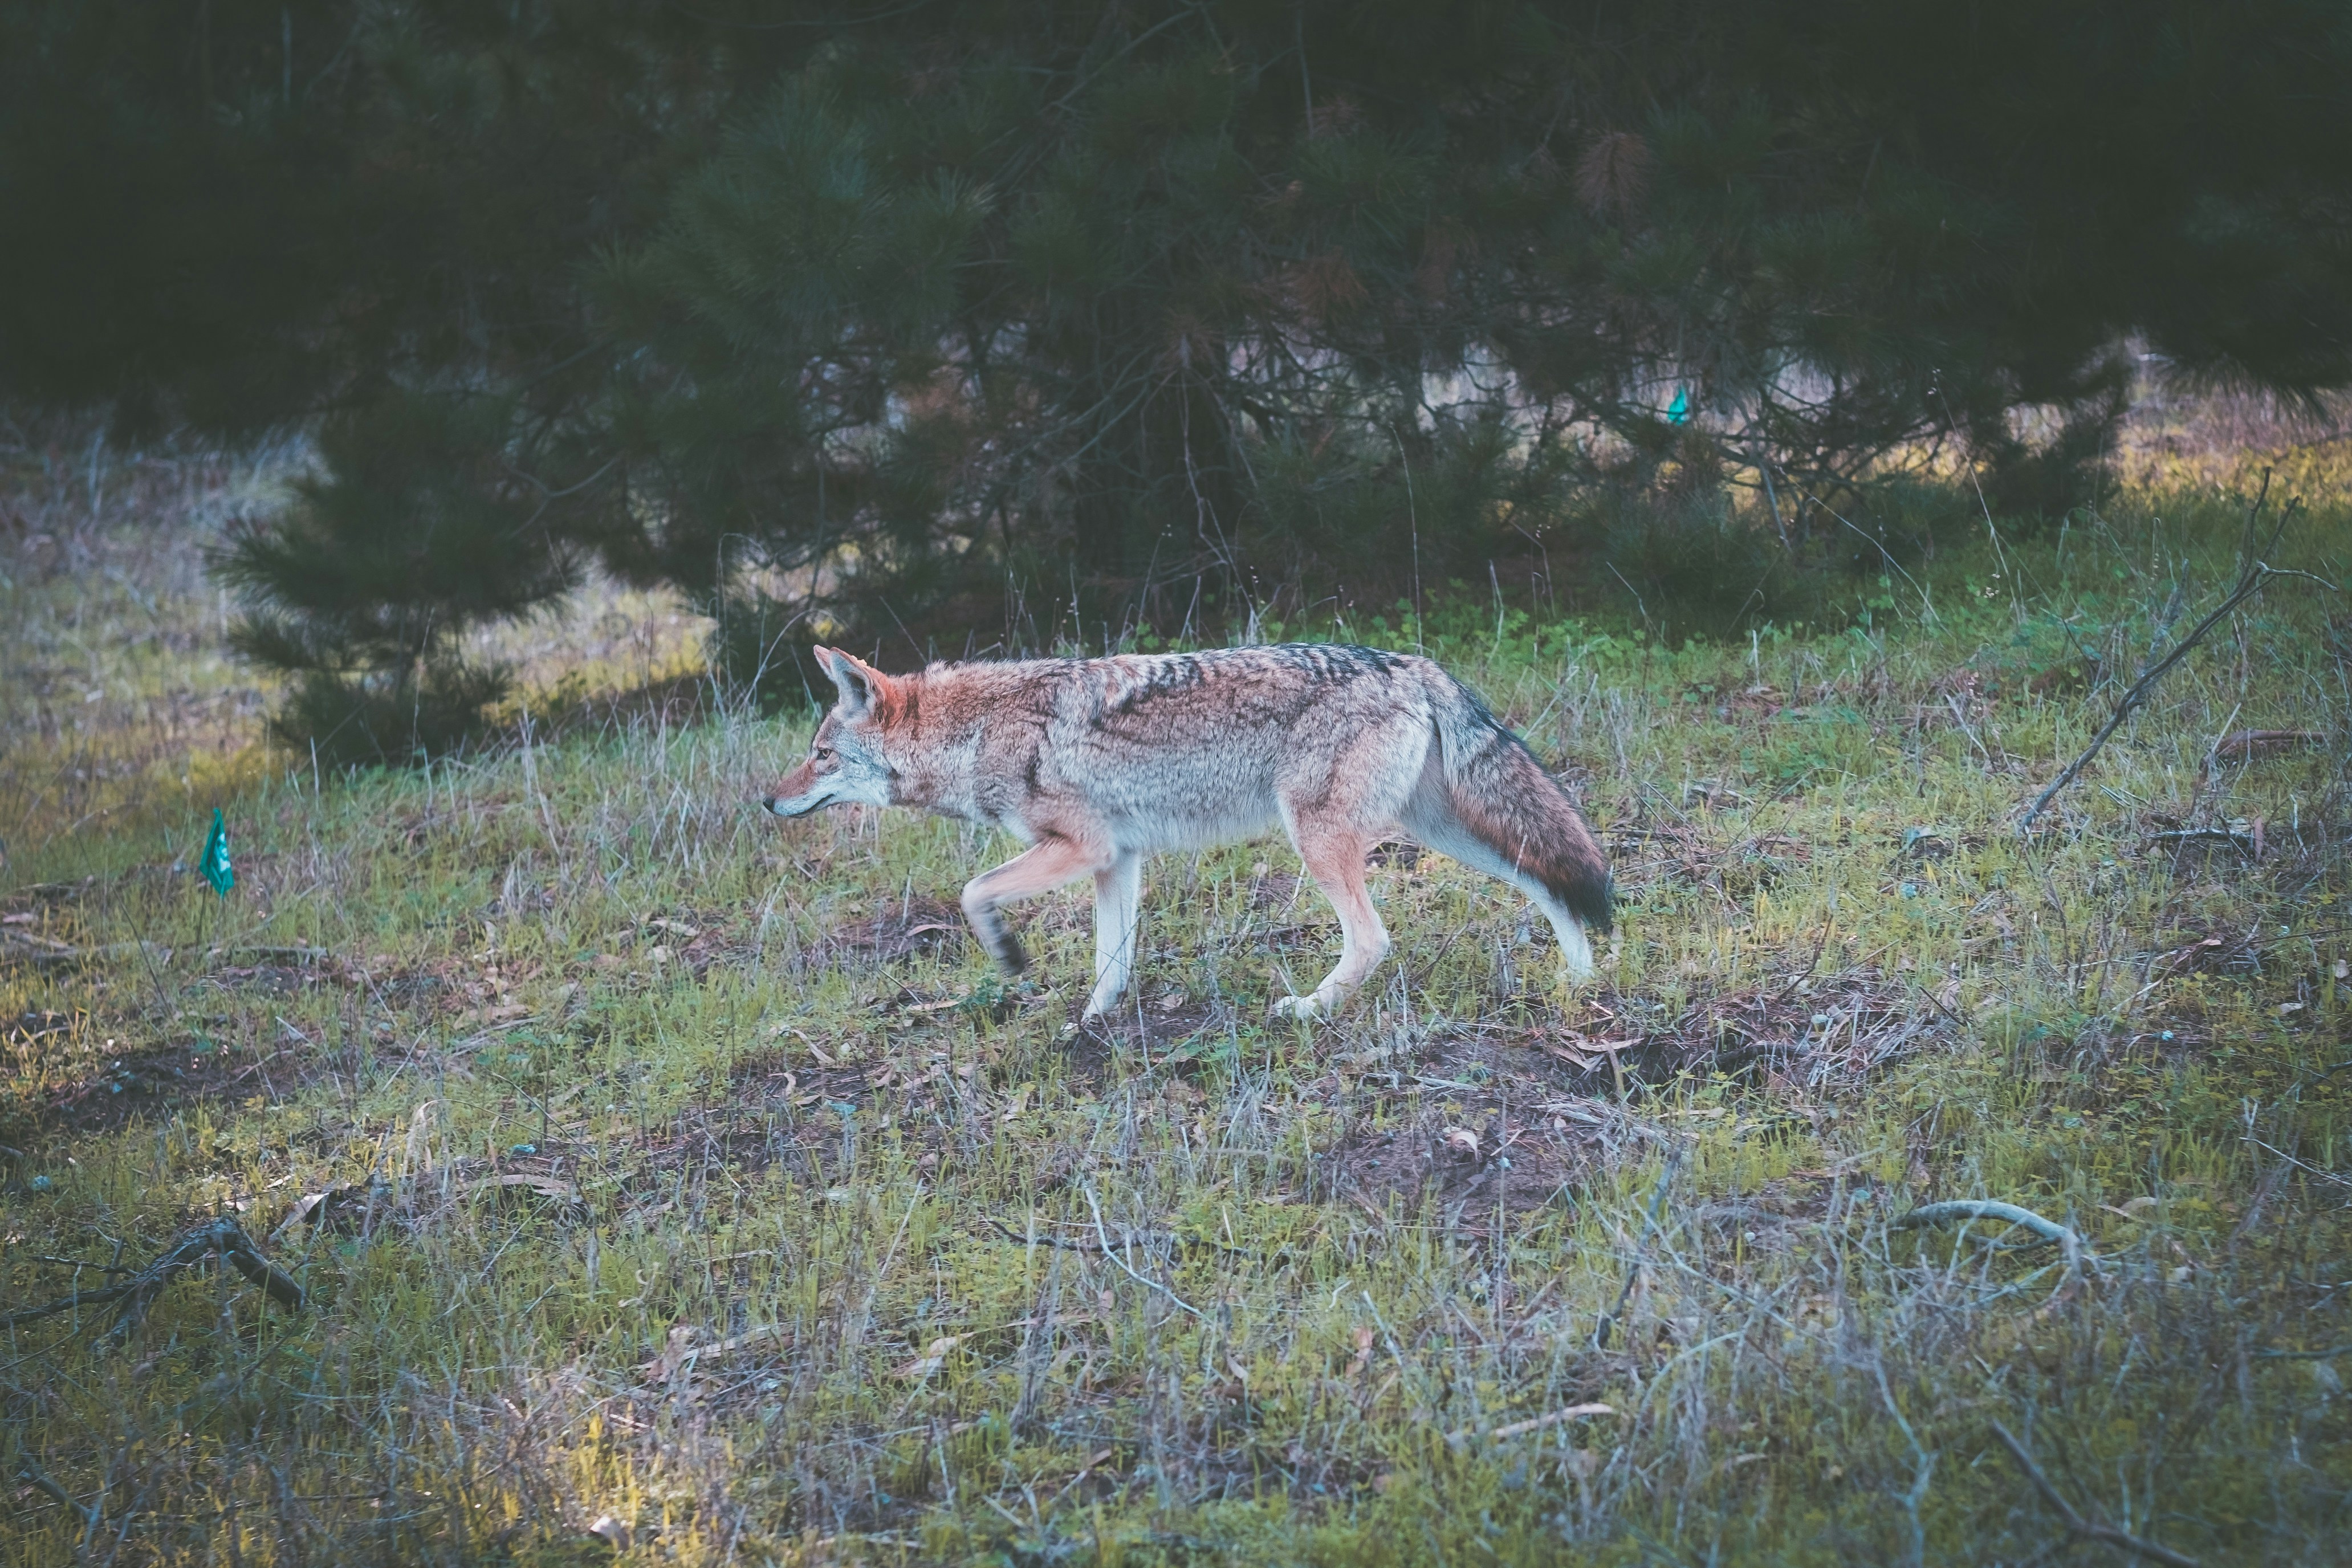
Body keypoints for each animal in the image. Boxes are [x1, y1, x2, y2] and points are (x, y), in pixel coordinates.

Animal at [762, 643, 1613, 1022]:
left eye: (819, 755)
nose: (768, 801)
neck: (973, 733)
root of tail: (1408, 661)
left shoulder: (1081, 849)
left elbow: (973, 892)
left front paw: (1009, 956)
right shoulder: (1117, 860)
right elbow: (1110, 959)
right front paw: (1090, 1026)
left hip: (1317, 839)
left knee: (1373, 940)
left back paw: (1307, 1009)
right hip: (1439, 831)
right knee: (1547, 880)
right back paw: (1578, 981)